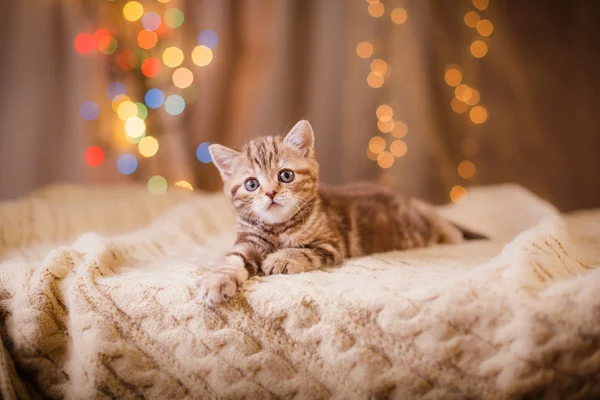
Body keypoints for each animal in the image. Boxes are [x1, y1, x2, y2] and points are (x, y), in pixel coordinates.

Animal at [199, 119, 476, 306]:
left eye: (286, 175)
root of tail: (407, 201)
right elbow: (231, 260)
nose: (270, 193)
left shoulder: (330, 244)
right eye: (251, 184)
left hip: (424, 227)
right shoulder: (246, 242)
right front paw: (216, 281)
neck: (278, 227)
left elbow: (302, 251)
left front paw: (280, 259)